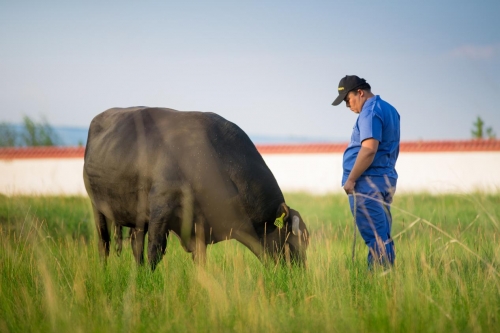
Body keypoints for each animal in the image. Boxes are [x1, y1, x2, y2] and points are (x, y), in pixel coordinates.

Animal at [82, 107, 308, 268]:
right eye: (293, 240)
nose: (298, 277)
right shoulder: (161, 209)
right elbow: (155, 250)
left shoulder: (198, 225)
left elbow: (200, 260)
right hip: (97, 206)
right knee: (104, 243)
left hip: (137, 217)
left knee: (135, 245)